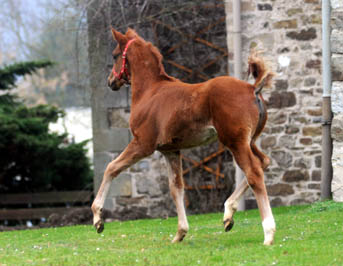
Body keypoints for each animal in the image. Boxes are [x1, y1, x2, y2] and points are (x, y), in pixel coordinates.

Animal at [92, 27, 276, 245]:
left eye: (114, 55)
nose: (110, 81)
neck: (150, 91)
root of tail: (252, 88)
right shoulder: (171, 150)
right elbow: (176, 188)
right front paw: (180, 232)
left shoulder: (142, 144)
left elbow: (111, 168)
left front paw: (97, 218)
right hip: (250, 141)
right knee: (263, 162)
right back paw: (228, 214)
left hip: (235, 142)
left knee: (254, 172)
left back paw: (268, 233)